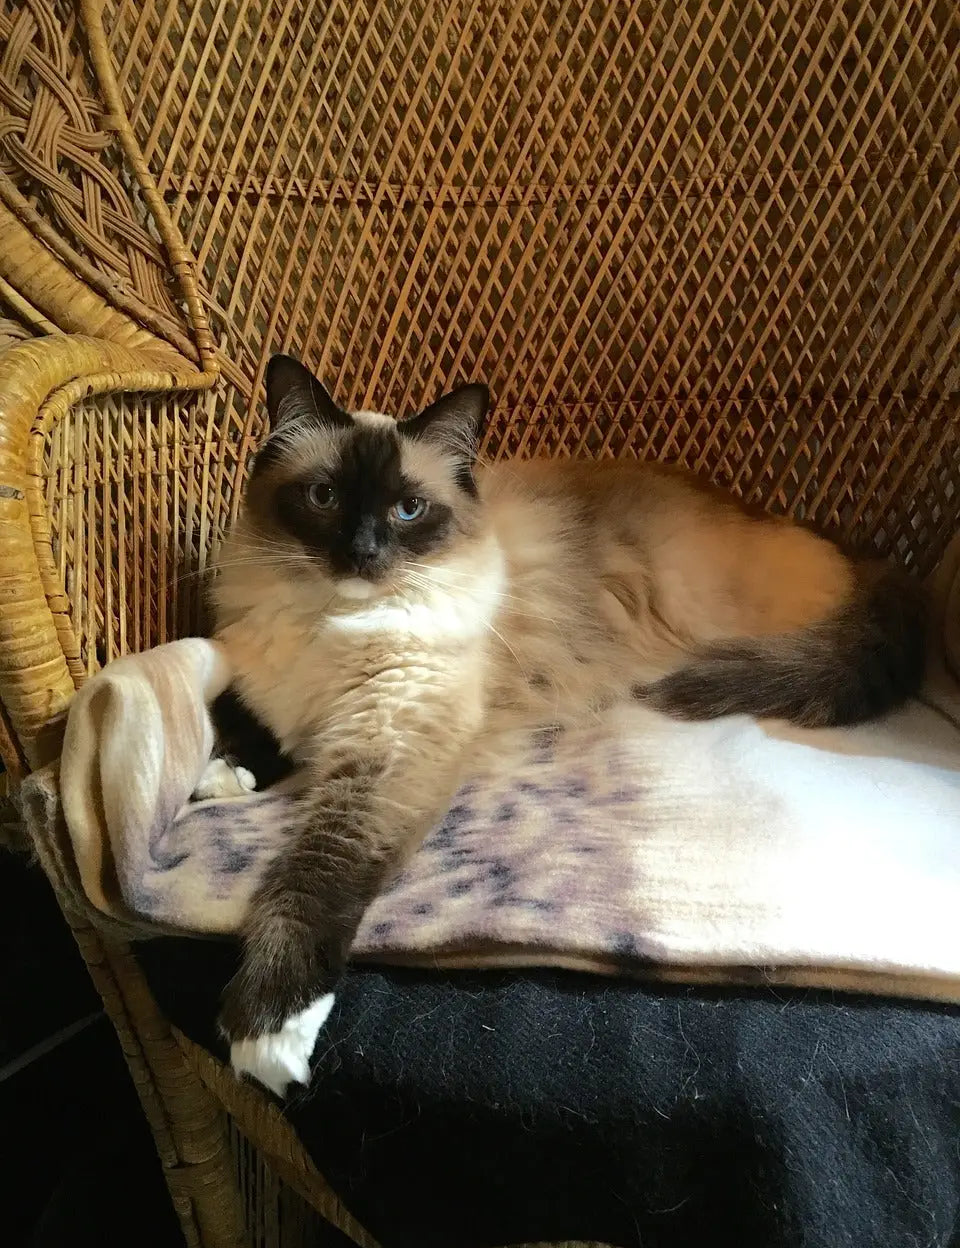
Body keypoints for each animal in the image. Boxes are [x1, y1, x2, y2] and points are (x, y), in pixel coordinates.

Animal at [205, 351, 923, 1093]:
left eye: (408, 510)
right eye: (324, 498)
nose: (363, 552)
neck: (332, 621)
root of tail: (854, 549)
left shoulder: (386, 753)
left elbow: (311, 880)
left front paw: (267, 1029)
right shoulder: (270, 682)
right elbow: (246, 720)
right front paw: (227, 774)